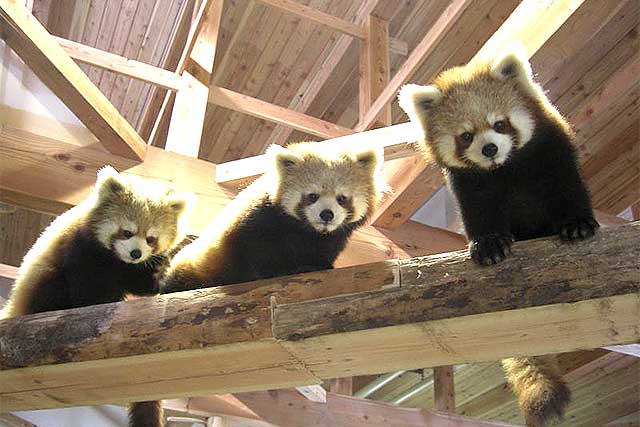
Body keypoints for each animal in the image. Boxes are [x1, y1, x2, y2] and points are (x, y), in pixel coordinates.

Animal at [398, 45, 592, 426]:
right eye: (466, 136)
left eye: (499, 124)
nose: (489, 148)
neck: (504, 168)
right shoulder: (469, 182)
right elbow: (479, 212)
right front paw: (489, 244)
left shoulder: (551, 148)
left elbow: (567, 185)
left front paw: (577, 223)